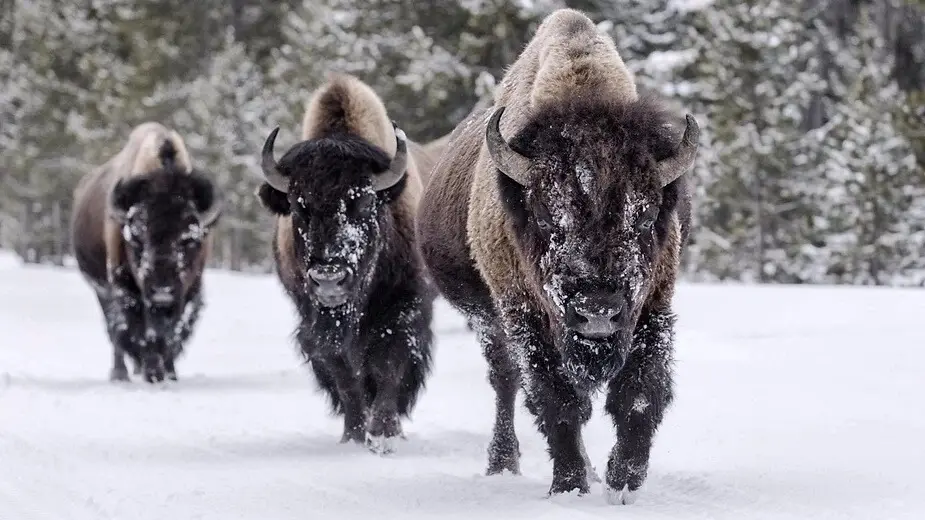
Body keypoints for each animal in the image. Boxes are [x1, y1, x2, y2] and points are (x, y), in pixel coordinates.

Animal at [71, 122, 223, 383]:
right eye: (136, 239)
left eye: (189, 240)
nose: (162, 291)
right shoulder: (125, 288)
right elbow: (140, 330)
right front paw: (152, 371)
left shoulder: (188, 290)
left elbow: (173, 332)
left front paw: (168, 373)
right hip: (101, 290)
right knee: (114, 331)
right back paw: (121, 373)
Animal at [256, 74, 438, 453]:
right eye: (298, 205)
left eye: (364, 201)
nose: (329, 278)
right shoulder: (313, 321)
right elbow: (345, 374)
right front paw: (353, 434)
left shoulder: (405, 309)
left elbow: (388, 365)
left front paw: (384, 433)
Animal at [417, 9, 699, 503]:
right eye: (548, 216)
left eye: (646, 217)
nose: (598, 310)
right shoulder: (525, 316)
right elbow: (556, 399)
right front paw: (569, 485)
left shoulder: (652, 307)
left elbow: (640, 394)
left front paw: (622, 481)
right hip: (486, 318)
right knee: (505, 381)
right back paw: (503, 462)